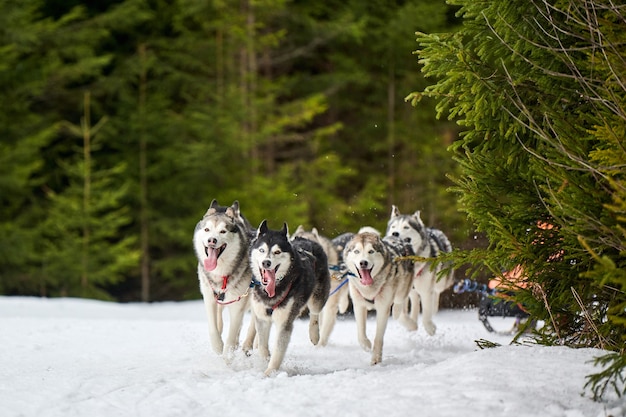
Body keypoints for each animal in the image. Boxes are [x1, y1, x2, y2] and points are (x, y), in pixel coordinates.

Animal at [194, 200, 255, 356]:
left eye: (223, 231)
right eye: (207, 229)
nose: (212, 240)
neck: (219, 273)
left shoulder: (238, 302)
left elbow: (232, 334)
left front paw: (228, 355)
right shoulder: (209, 297)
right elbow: (213, 327)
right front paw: (217, 347)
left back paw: (248, 345)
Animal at [249, 221, 330, 374]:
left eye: (277, 252)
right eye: (262, 250)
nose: (266, 263)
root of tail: (305, 239)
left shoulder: (284, 322)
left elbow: (278, 351)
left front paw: (270, 372)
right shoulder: (262, 318)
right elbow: (262, 346)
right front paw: (265, 360)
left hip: (318, 297)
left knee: (314, 313)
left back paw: (314, 334)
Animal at [342, 231, 414, 364]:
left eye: (371, 251)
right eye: (356, 251)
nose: (363, 263)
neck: (369, 289)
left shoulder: (383, 307)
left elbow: (379, 337)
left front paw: (376, 358)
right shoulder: (359, 305)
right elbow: (360, 332)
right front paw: (366, 345)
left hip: (404, 284)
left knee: (400, 300)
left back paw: (397, 311)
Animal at [382, 206, 450, 336]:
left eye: (406, 227)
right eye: (393, 227)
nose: (395, 233)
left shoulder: (426, 289)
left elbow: (427, 310)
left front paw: (429, 327)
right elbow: (400, 315)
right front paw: (411, 325)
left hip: (441, 281)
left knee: (436, 293)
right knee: (415, 299)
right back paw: (413, 319)